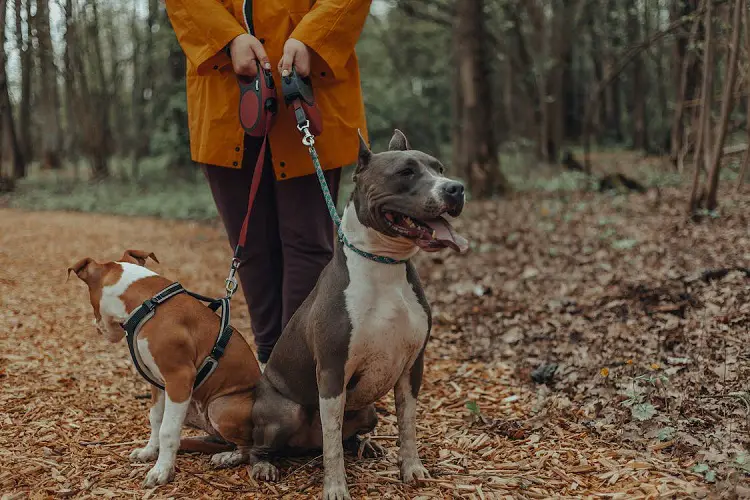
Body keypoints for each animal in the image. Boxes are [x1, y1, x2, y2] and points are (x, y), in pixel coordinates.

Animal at [68, 252, 262, 486]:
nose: (96, 326)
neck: (147, 304)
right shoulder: (159, 383)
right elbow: (156, 419)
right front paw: (149, 452)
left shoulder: (179, 378)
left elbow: (168, 431)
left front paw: (161, 471)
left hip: (220, 406)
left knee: (248, 446)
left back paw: (228, 457)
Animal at [250, 130, 468, 500]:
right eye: (406, 171)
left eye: (438, 168)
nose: (456, 188)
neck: (384, 264)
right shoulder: (332, 370)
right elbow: (331, 443)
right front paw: (336, 487)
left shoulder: (413, 366)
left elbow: (407, 424)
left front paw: (411, 468)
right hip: (286, 410)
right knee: (264, 444)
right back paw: (263, 463)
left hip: (367, 410)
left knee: (345, 435)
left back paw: (365, 445)